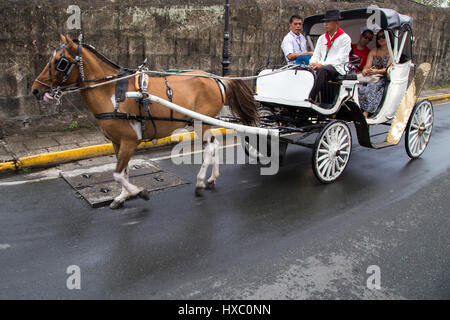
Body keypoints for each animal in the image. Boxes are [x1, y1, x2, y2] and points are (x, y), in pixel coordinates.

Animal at [31, 35, 256, 209]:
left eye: (60, 62)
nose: (35, 90)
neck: (113, 93)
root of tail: (217, 79)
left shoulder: (130, 140)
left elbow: (117, 174)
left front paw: (139, 192)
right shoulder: (118, 142)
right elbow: (123, 171)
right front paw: (122, 197)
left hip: (203, 123)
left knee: (209, 148)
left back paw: (201, 182)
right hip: (200, 123)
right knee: (214, 145)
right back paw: (211, 179)